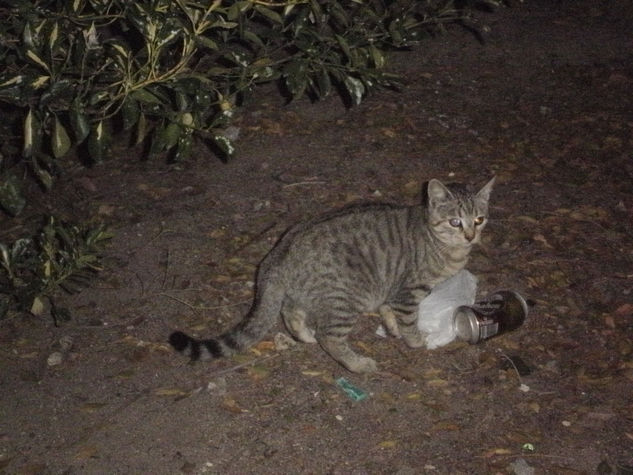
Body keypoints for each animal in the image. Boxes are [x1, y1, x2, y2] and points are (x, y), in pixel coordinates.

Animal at [168, 178, 494, 372]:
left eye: (479, 219)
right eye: (455, 222)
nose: (470, 235)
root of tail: (277, 255)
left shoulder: (390, 289)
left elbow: (388, 311)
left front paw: (392, 328)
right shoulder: (409, 291)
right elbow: (408, 320)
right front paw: (414, 340)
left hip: (306, 293)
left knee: (290, 312)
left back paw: (303, 335)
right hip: (344, 300)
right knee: (330, 337)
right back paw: (357, 363)